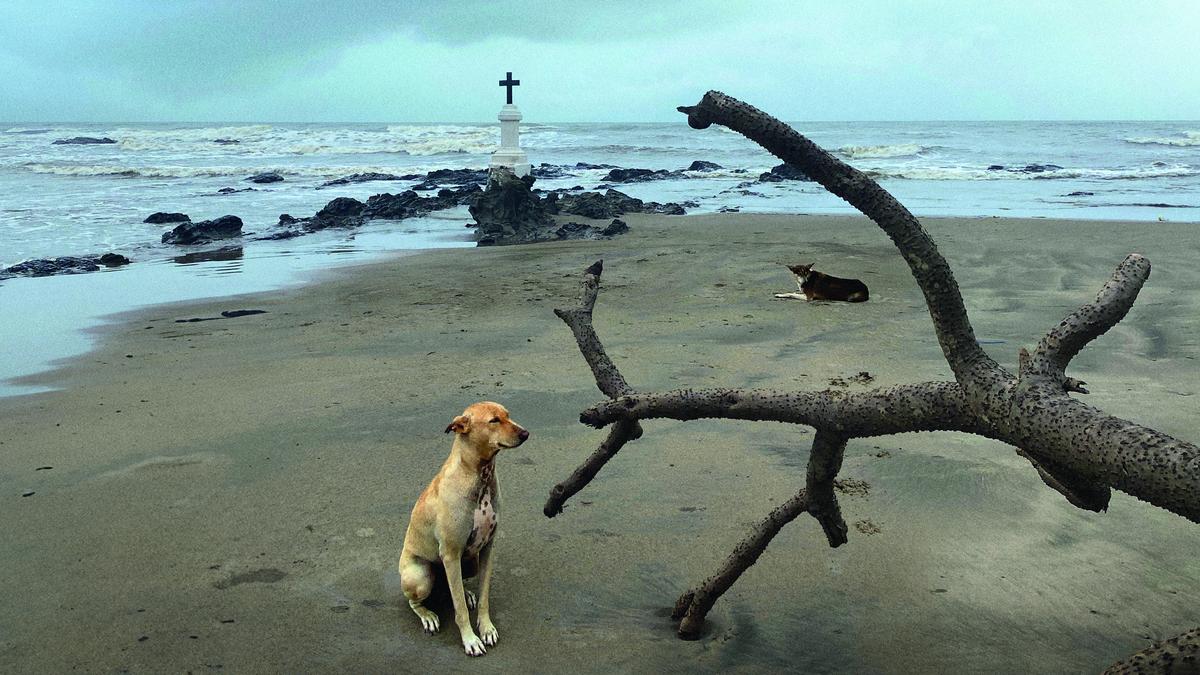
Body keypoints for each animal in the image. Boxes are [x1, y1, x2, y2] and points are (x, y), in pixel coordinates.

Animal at [400, 398, 528, 653]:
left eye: (508, 415)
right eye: (494, 420)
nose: (525, 433)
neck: (480, 475)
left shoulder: (487, 548)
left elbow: (484, 597)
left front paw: (486, 628)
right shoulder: (450, 554)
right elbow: (458, 609)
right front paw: (470, 639)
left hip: (470, 563)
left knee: (453, 588)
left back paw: (466, 593)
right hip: (421, 576)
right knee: (417, 600)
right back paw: (428, 615)